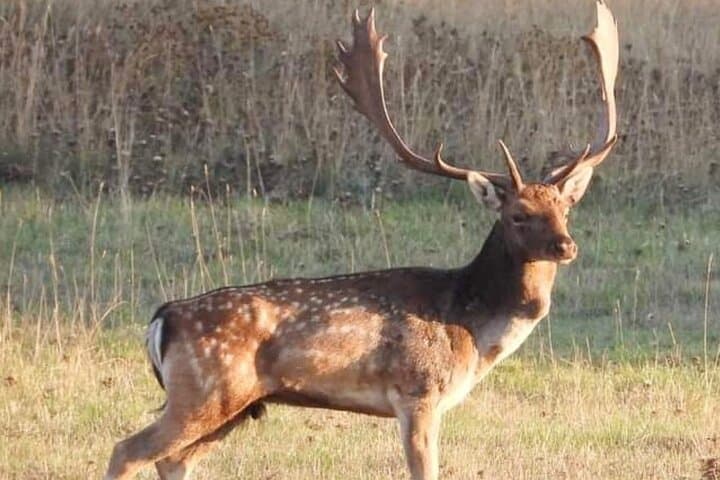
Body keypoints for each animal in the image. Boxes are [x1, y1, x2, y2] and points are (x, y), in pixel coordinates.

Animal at [105, 1, 618, 479]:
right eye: (517, 215)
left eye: (564, 208)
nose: (566, 246)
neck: (471, 326)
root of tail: (161, 319)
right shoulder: (417, 392)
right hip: (205, 389)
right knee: (127, 449)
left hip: (235, 403)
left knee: (173, 460)